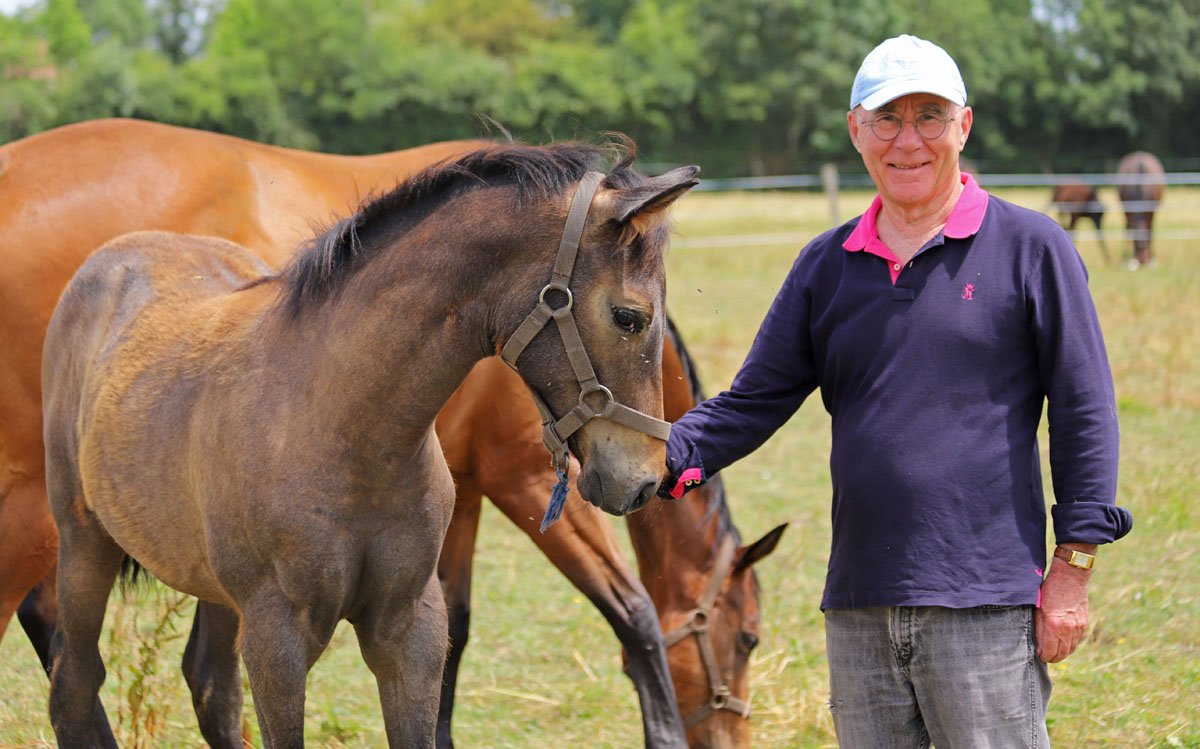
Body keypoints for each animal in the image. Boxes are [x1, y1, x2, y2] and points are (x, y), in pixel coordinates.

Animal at [1, 119, 777, 748]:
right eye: (628, 316)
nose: (642, 478)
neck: (347, 428)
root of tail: (113, 257)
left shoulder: (411, 620)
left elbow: (452, 644)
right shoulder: (284, 638)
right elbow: (637, 611)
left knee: (206, 688)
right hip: (76, 535)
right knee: (71, 677)